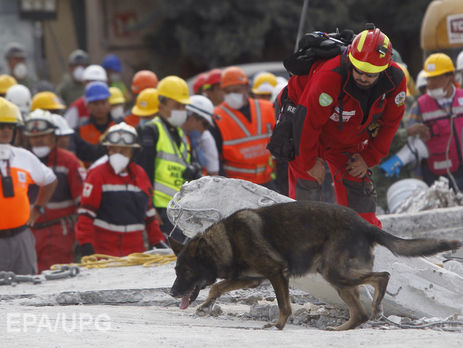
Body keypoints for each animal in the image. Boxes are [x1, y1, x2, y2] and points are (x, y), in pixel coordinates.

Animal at [169, 200, 460, 330]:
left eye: (186, 271)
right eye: (176, 271)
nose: (171, 293)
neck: (227, 240)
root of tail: (364, 225)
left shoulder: (277, 273)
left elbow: (284, 305)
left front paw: (278, 325)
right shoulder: (252, 279)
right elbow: (215, 288)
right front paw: (206, 306)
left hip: (336, 273)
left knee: (382, 276)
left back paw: (375, 307)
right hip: (338, 279)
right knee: (360, 312)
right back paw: (343, 328)